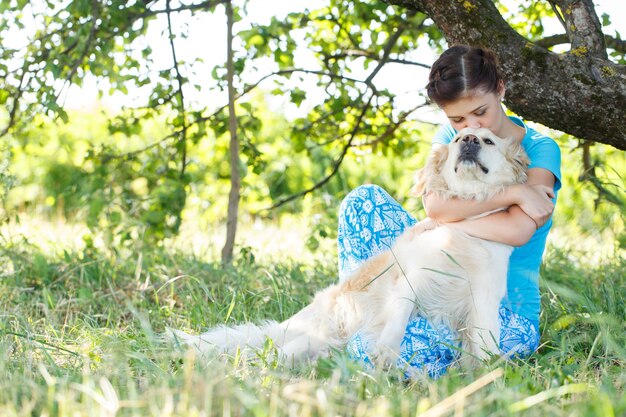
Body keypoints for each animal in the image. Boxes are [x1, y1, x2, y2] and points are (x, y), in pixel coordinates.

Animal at [169, 127, 528, 368]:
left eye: (488, 140)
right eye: (458, 139)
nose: (468, 141)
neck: (466, 228)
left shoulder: (483, 299)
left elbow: (486, 340)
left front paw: (488, 372)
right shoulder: (410, 279)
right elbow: (398, 318)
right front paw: (386, 352)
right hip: (317, 332)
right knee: (273, 353)